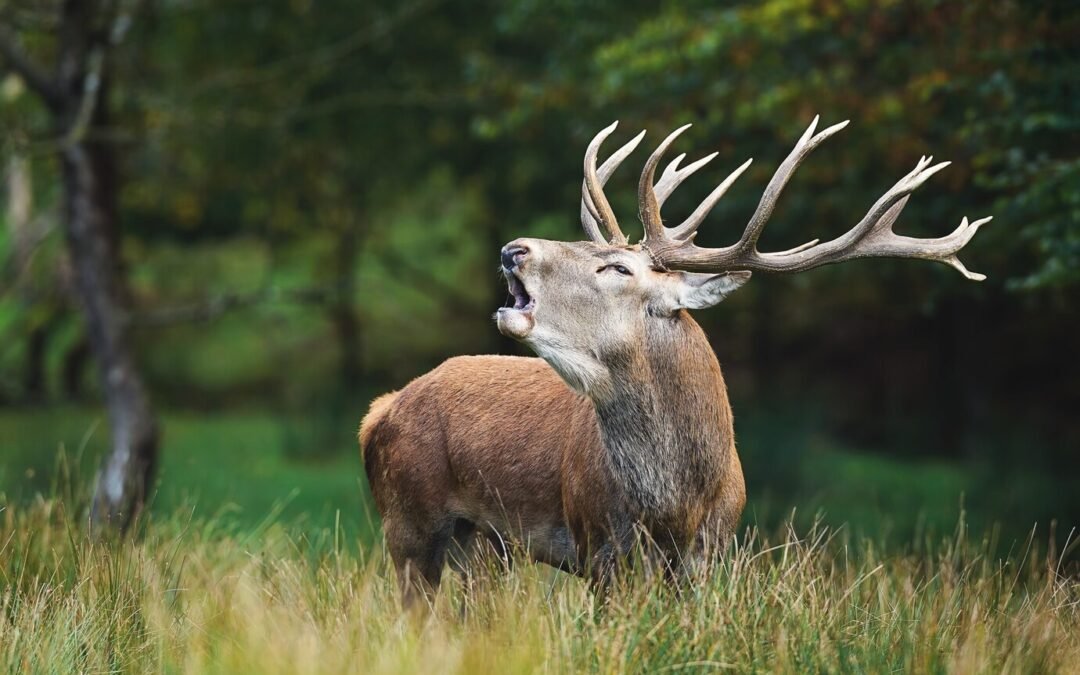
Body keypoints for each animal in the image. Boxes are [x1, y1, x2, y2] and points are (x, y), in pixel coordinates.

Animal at [358, 115, 989, 604]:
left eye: (616, 266)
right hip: (409, 519)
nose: (515, 249)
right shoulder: (599, 545)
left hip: (483, 545)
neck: (676, 502)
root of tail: (381, 410)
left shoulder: (709, 553)